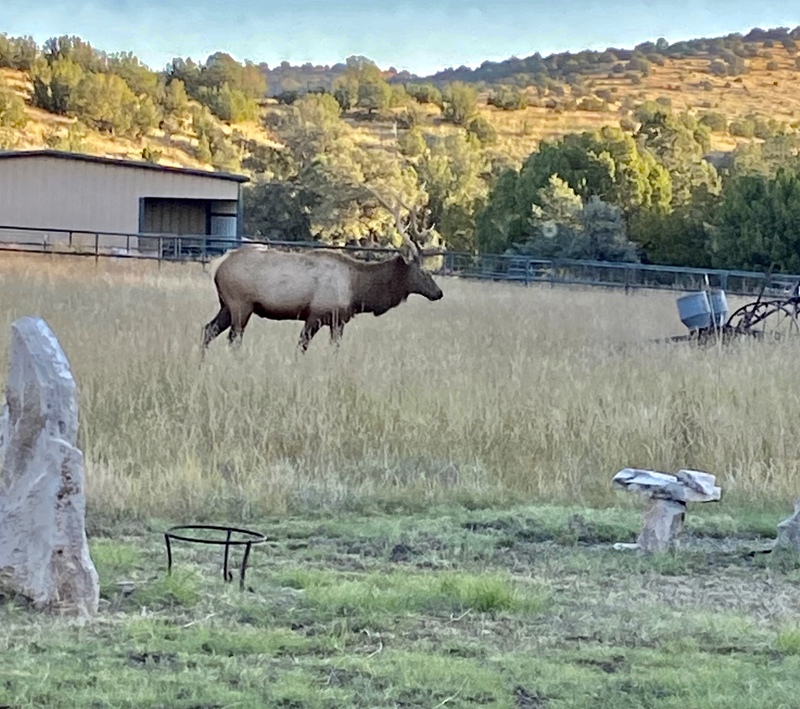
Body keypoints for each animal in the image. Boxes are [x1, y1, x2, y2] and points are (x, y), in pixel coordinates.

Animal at [202, 187, 444, 352]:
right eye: (423, 271)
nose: (439, 292)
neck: (358, 291)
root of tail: (218, 265)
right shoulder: (316, 314)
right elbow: (301, 346)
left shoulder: (338, 321)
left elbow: (334, 349)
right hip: (240, 304)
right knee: (233, 338)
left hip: (227, 305)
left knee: (208, 329)